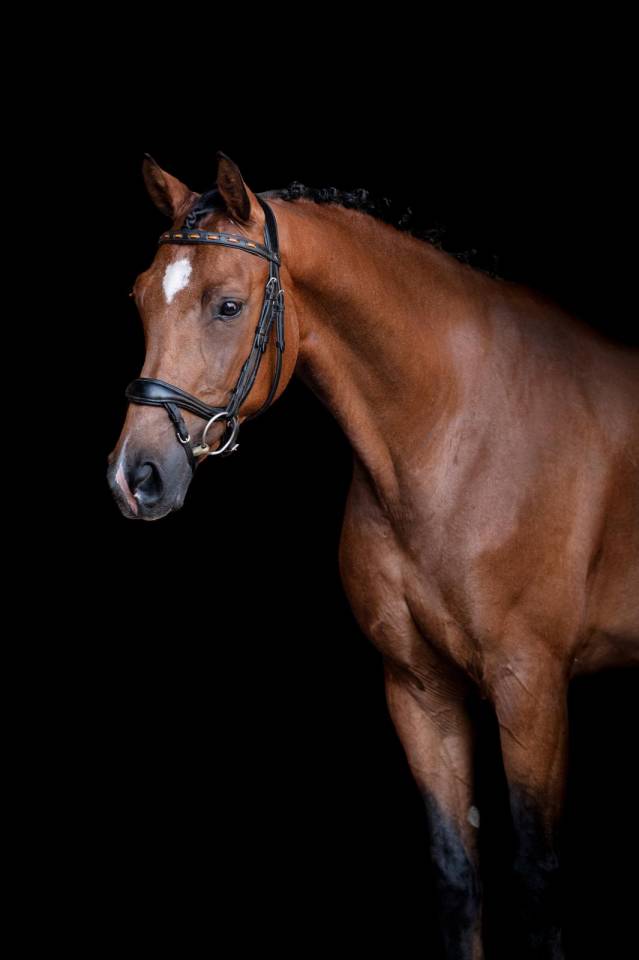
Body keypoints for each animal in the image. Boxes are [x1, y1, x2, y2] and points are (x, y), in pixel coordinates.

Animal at [107, 151, 639, 959]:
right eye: (140, 298)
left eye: (227, 305)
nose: (134, 478)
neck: (456, 433)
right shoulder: (419, 688)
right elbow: (457, 872)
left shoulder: (533, 687)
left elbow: (538, 880)